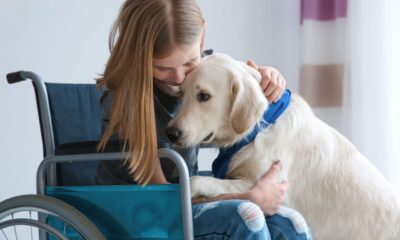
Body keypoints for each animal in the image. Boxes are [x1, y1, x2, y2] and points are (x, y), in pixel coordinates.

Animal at [165, 53, 400, 239]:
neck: (257, 129)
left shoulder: (270, 186)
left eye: (204, 96)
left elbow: (199, 180)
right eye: (181, 94)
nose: (171, 133)